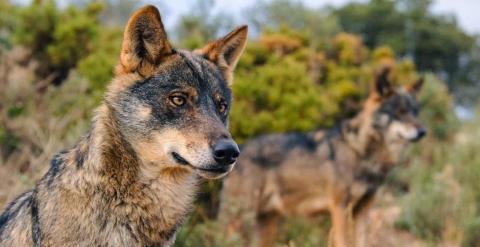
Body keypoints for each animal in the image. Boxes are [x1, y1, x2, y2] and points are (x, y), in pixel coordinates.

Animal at [219, 68, 426, 247]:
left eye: (415, 112)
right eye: (399, 112)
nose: (423, 131)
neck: (360, 151)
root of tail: (240, 150)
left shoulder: (363, 209)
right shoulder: (340, 208)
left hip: (266, 224)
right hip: (240, 218)